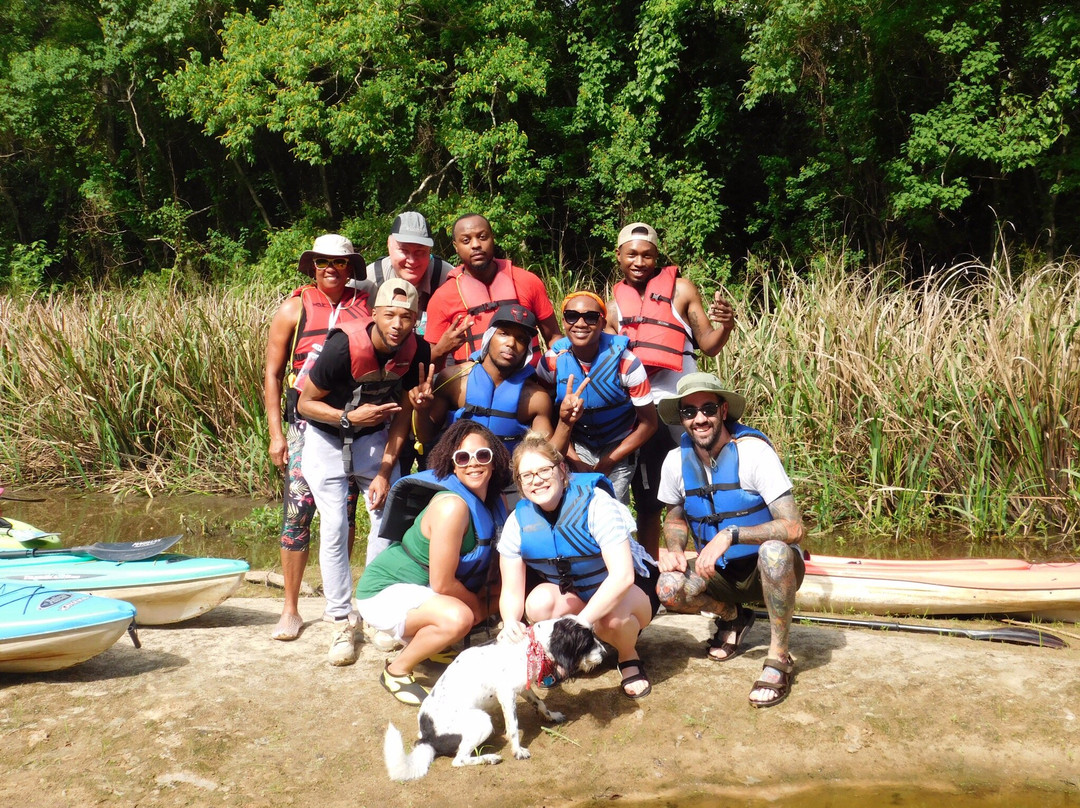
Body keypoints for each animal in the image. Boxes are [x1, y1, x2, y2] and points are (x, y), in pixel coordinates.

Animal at [382, 613, 604, 777]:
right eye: (587, 642)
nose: (605, 653)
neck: (533, 646)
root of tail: (428, 737)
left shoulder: (523, 688)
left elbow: (540, 703)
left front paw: (552, 716)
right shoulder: (507, 694)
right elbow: (513, 727)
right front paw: (518, 751)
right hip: (482, 721)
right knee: (459, 760)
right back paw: (489, 758)